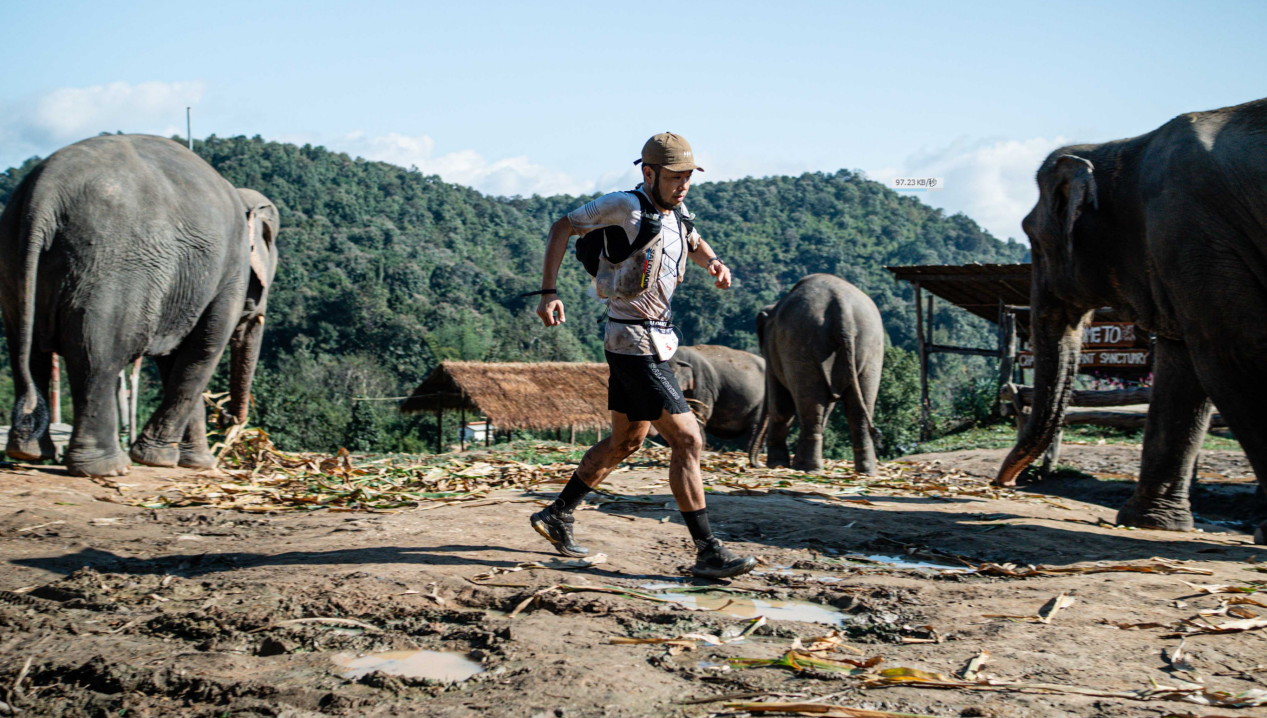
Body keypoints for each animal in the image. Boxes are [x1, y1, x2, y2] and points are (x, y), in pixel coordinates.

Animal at [0, 133, 278, 478]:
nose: (227, 419)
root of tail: (44, 192)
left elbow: (174, 359)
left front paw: (192, 462)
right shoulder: (230, 273)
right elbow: (203, 349)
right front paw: (169, 461)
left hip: (14, 257)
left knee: (27, 349)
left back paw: (28, 452)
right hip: (110, 267)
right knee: (97, 355)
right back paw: (107, 468)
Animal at [750, 273, 881, 471]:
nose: (756, 464)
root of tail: (844, 315)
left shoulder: (774, 353)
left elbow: (780, 404)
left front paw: (776, 465)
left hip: (802, 346)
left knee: (808, 404)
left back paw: (806, 467)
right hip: (870, 350)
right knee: (857, 410)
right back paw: (866, 471)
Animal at [993, 96, 1267, 544]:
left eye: (1031, 236)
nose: (1007, 483)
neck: (1126, 146)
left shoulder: (1189, 232)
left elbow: (1235, 358)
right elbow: (1181, 370)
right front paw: (1151, 523)